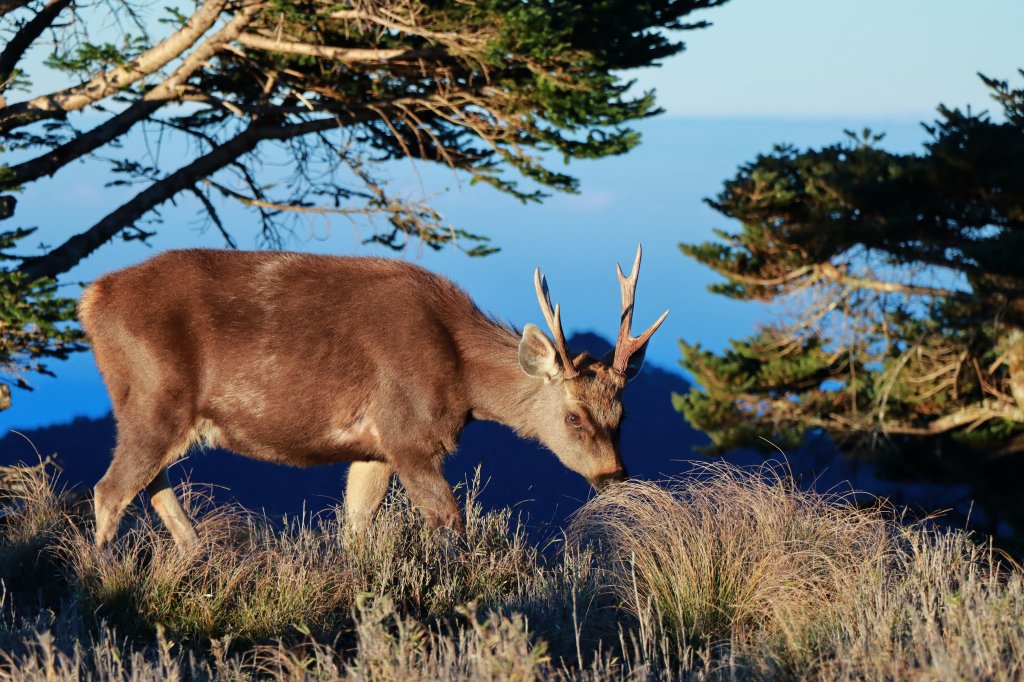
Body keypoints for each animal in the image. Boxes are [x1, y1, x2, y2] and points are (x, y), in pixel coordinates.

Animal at [81, 244, 671, 548]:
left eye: (622, 413)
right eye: (573, 416)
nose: (613, 475)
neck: (460, 377)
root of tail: (91, 299)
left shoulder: (373, 447)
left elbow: (356, 528)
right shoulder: (408, 434)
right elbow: (451, 520)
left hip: (152, 407)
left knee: (149, 483)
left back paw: (194, 556)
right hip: (153, 397)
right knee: (110, 489)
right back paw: (106, 577)